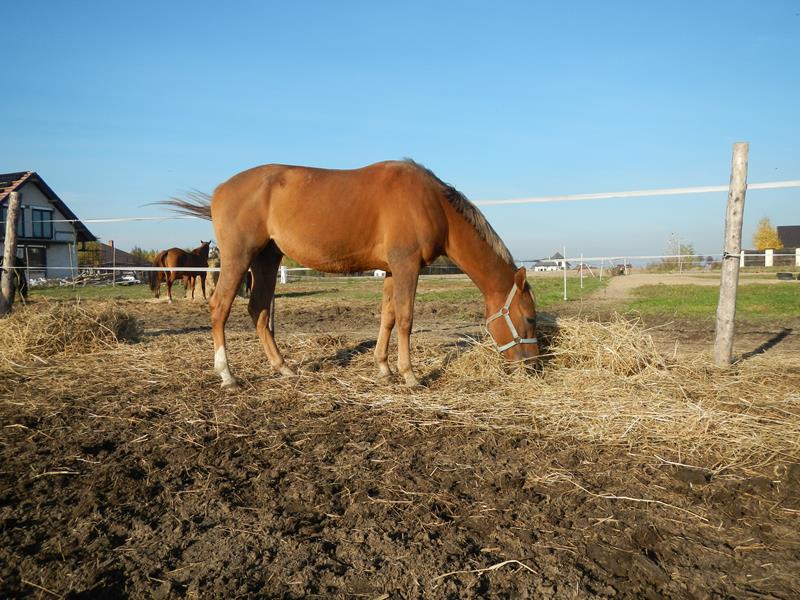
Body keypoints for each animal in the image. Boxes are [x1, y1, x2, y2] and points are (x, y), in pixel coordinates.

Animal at [164, 159, 536, 390]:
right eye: (530, 319)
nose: (533, 367)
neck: (432, 203)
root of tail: (220, 191)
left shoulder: (392, 270)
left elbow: (387, 317)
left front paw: (384, 368)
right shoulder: (406, 266)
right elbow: (405, 318)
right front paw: (410, 375)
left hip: (266, 259)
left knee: (259, 311)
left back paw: (283, 367)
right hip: (239, 258)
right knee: (219, 308)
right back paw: (227, 375)